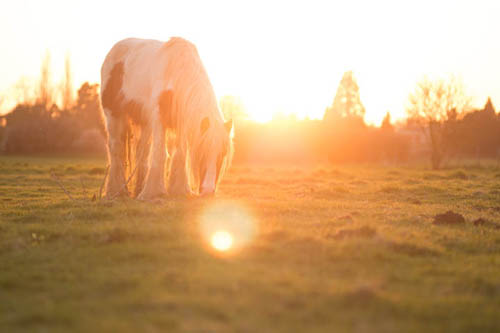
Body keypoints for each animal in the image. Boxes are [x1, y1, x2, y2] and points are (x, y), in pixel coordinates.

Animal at [101, 39, 234, 200]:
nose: (208, 191)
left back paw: (138, 189)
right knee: (116, 150)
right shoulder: (159, 119)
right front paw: (154, 192)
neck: (177, 73)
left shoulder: (182, 122)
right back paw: (117, 191)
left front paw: (179, 189)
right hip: (113, 115)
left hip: (145, 122)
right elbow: (161, 154)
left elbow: (180, 155)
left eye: (223, 153)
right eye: (201, 151)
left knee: (142, 153)